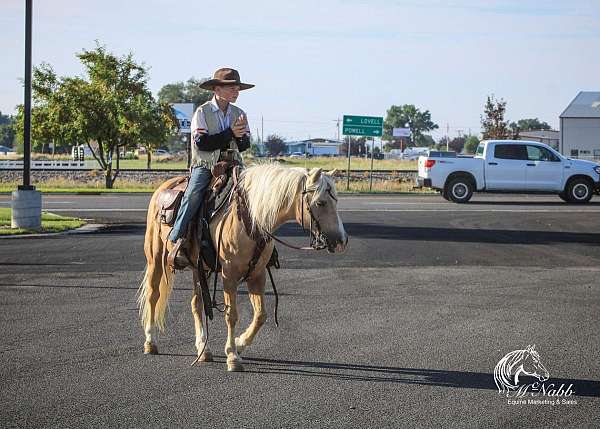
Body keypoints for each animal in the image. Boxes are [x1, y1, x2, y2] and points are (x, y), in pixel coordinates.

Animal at [136, 164, 346, 372]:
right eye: (320, 203)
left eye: (335, 200)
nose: (341, 241)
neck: (251, 218)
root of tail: (164, 186)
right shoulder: (229, 275)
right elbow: (232, 315)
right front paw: (232, 356)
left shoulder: (257, 274)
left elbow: (261, 315)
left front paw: (240, 343)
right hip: (155, 258)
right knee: (153, 295)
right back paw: (150, 342)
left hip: (200, 269)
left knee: (196, 304)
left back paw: (203, 349)